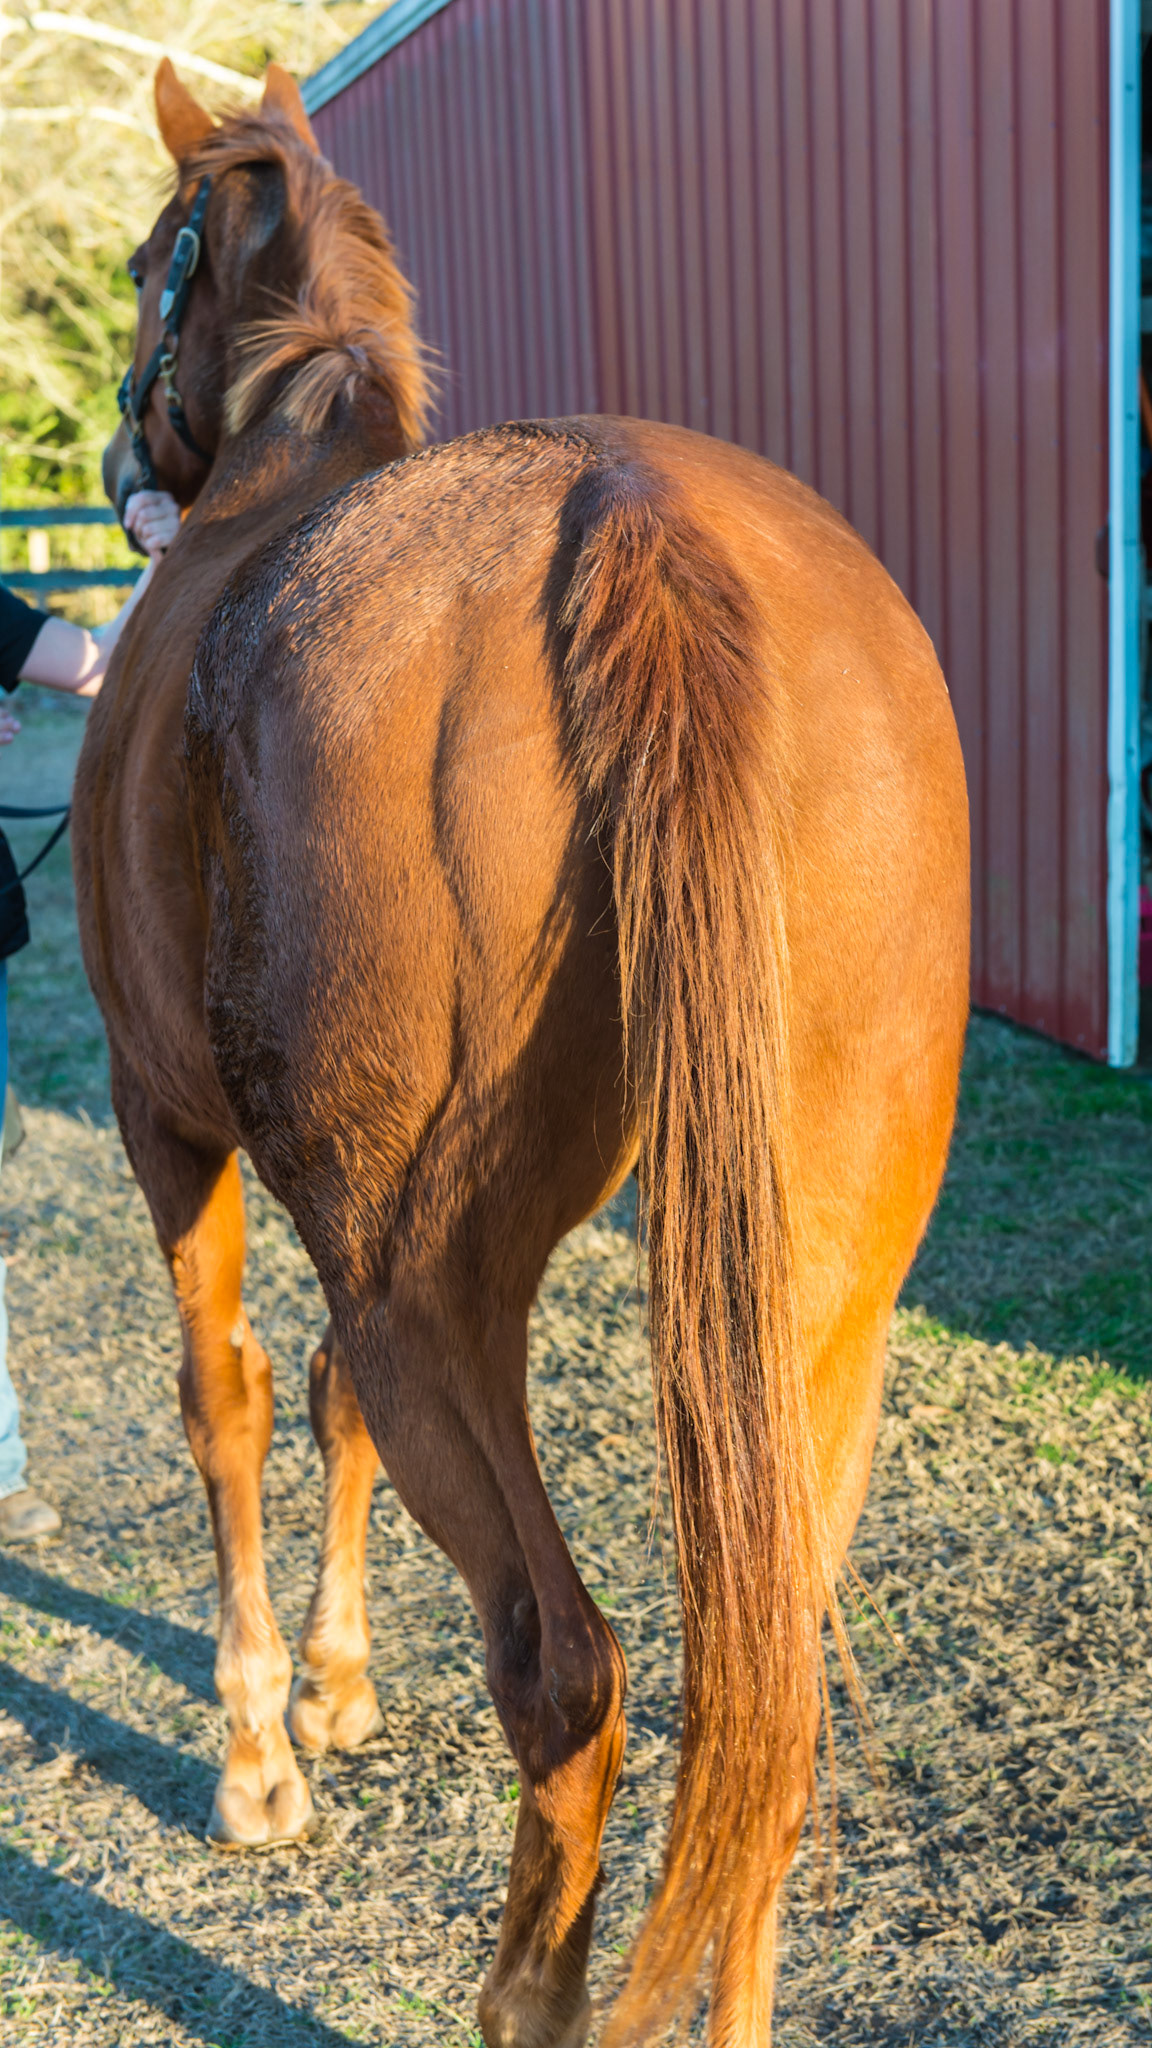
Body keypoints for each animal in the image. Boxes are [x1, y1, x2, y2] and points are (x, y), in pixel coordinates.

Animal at [77, 58, 969, 2048]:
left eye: (157, 254)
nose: (115, 467)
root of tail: (629, 514)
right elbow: (319, 1397)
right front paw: (334, 1687)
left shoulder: (163, 1118)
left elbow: (231, 1395)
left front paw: (263, 1751)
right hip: (818, 1307)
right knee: (758, 1709)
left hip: (434, 1287)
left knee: (566, 1674)